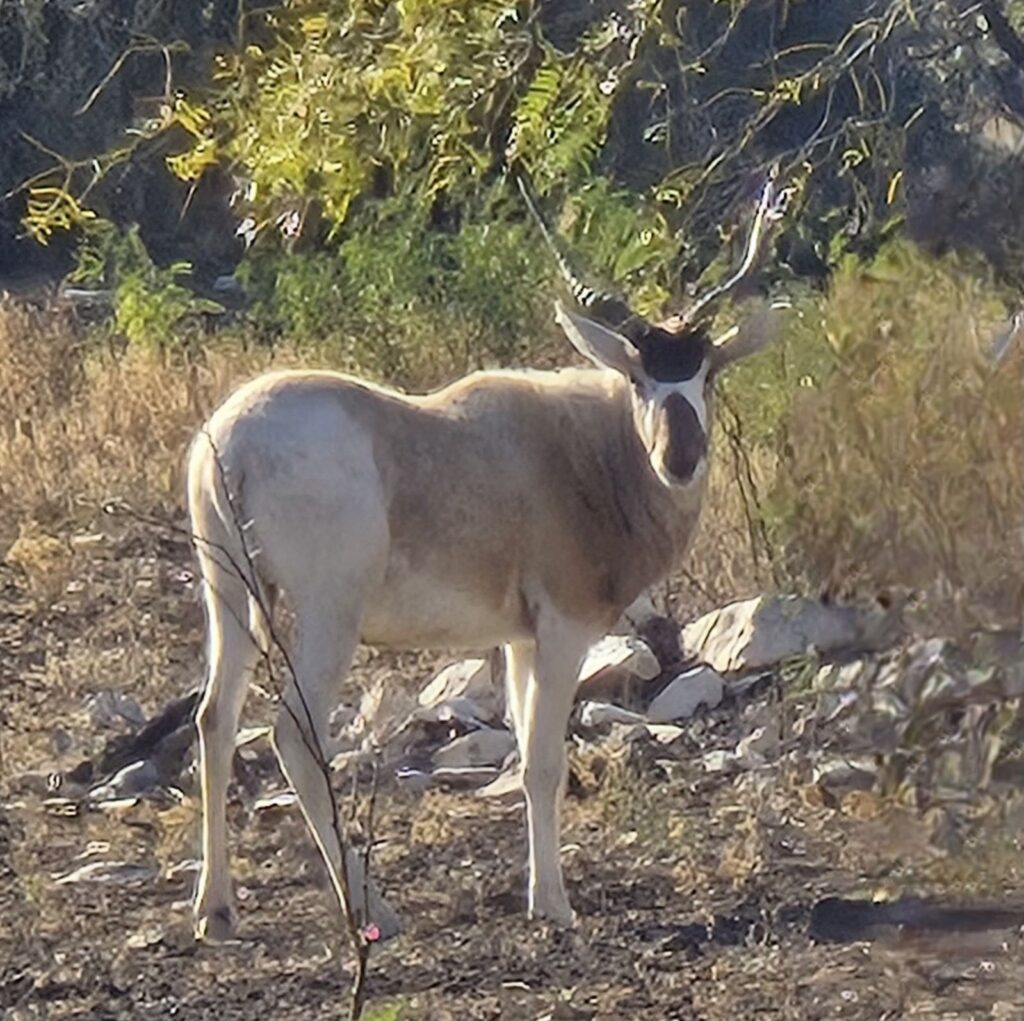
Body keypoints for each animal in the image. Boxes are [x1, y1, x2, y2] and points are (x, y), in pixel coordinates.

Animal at [186, 168, 790, 942]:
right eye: (638, 377)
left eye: (706, 374)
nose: (679, 460)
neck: (579, 448)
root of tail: (229, 442)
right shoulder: (563, 627)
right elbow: (544, 763)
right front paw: (555, 905)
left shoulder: (519, 637)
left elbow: (526, 748)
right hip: (328, 612)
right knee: (294, 732)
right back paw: (372, 909)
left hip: (231, 593)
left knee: (214, 716)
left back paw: (216, 908)